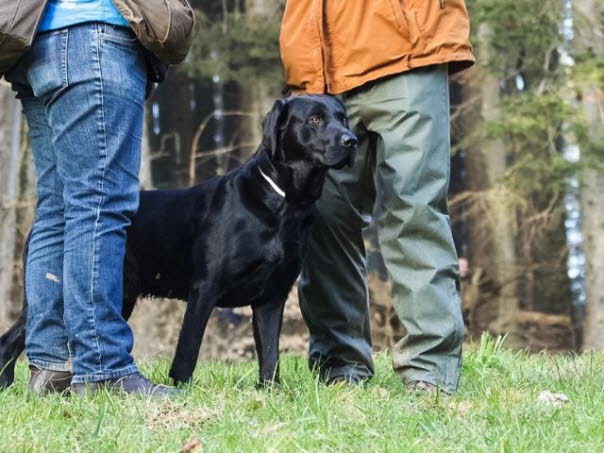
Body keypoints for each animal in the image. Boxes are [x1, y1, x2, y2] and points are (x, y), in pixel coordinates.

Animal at [0, 93, 356, 386]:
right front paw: (182, 390)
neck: (284, 202)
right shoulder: (204, 290)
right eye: (314, 119)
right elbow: (188, 350)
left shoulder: (272, 297)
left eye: (343, 117)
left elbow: (270, 355)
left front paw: (269, 393)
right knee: (10, 339)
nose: (351, 140)